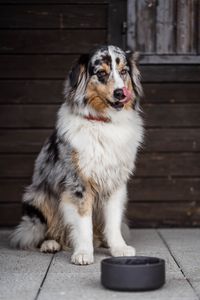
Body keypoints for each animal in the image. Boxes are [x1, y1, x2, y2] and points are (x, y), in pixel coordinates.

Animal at [10, 44, 144, 264]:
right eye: (101, 73)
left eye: (124, 72)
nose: (121, 93)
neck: (103, 123)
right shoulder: (77, 183)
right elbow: (83, 223)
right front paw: (83, 253)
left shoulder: (115, 182)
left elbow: (113, 220)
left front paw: (118, 247)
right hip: (37, 198)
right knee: (38, 231)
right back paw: (50, 244)